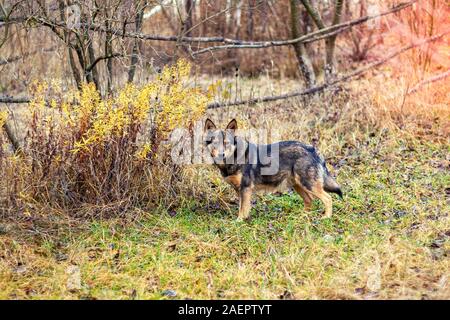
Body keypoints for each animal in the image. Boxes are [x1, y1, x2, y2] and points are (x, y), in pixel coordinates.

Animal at [204, 117, 342, 220]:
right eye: (215, 143)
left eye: (226, 143)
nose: (221, 155)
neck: (235, 157)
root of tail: (312, 149)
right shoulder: (240, 191)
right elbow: (242, 207)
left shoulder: (246, 188)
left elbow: (242, 210)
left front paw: (239, 222)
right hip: (298, 185)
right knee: (309, 200)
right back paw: (302, 216)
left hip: (308, 184)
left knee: (328, 199)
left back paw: (326, 217)